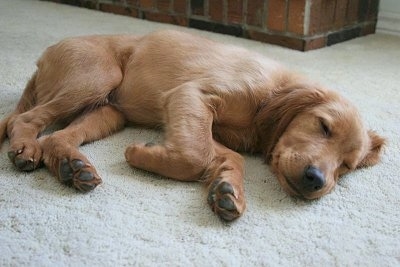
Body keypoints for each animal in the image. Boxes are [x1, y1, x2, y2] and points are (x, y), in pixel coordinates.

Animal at [0, 29, 388, 222]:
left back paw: (72, 166)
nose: (316, 181)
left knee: (57, 137)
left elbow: (222, 156)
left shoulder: (198, 119)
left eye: (346, 166)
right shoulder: (191, 96)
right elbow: (195, 156)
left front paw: (228, 189)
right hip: (95, 77)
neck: (271, 94)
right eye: (323, 126)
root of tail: (45, 56)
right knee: (25, 119)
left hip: (108, 111)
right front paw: (140, 154)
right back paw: (25, 147)